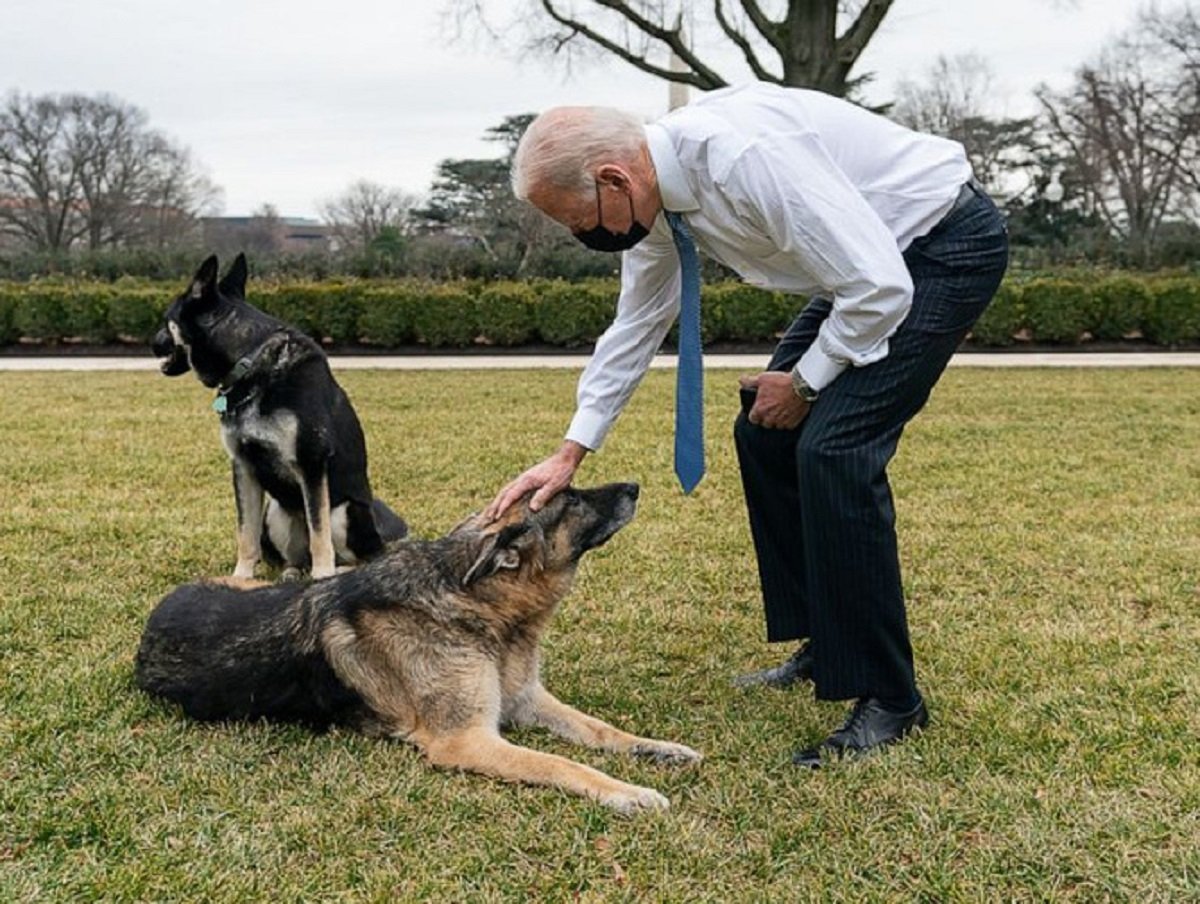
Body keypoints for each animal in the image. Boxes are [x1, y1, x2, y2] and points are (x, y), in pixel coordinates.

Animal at [136, 482, 700, 816]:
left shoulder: (526, 700)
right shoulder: (466, 741)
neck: (475, 602)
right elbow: (561, 764)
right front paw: (626, 792)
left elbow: (602, 730)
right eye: (573, 499)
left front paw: (658, 748)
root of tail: (154, 619)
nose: (634, 487)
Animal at [148, 254, 403, 578]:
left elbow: (319, 533)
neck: (250, 361)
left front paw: (322, 576)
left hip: (344, 512)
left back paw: (336, 570)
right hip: (276, 510)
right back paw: (292, 572)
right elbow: (246, 533)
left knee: (355, 555)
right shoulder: (243, 466)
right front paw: (241, 577)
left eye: (166, 319)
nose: (151, 343)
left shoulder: (311, 464)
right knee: (295, 557)